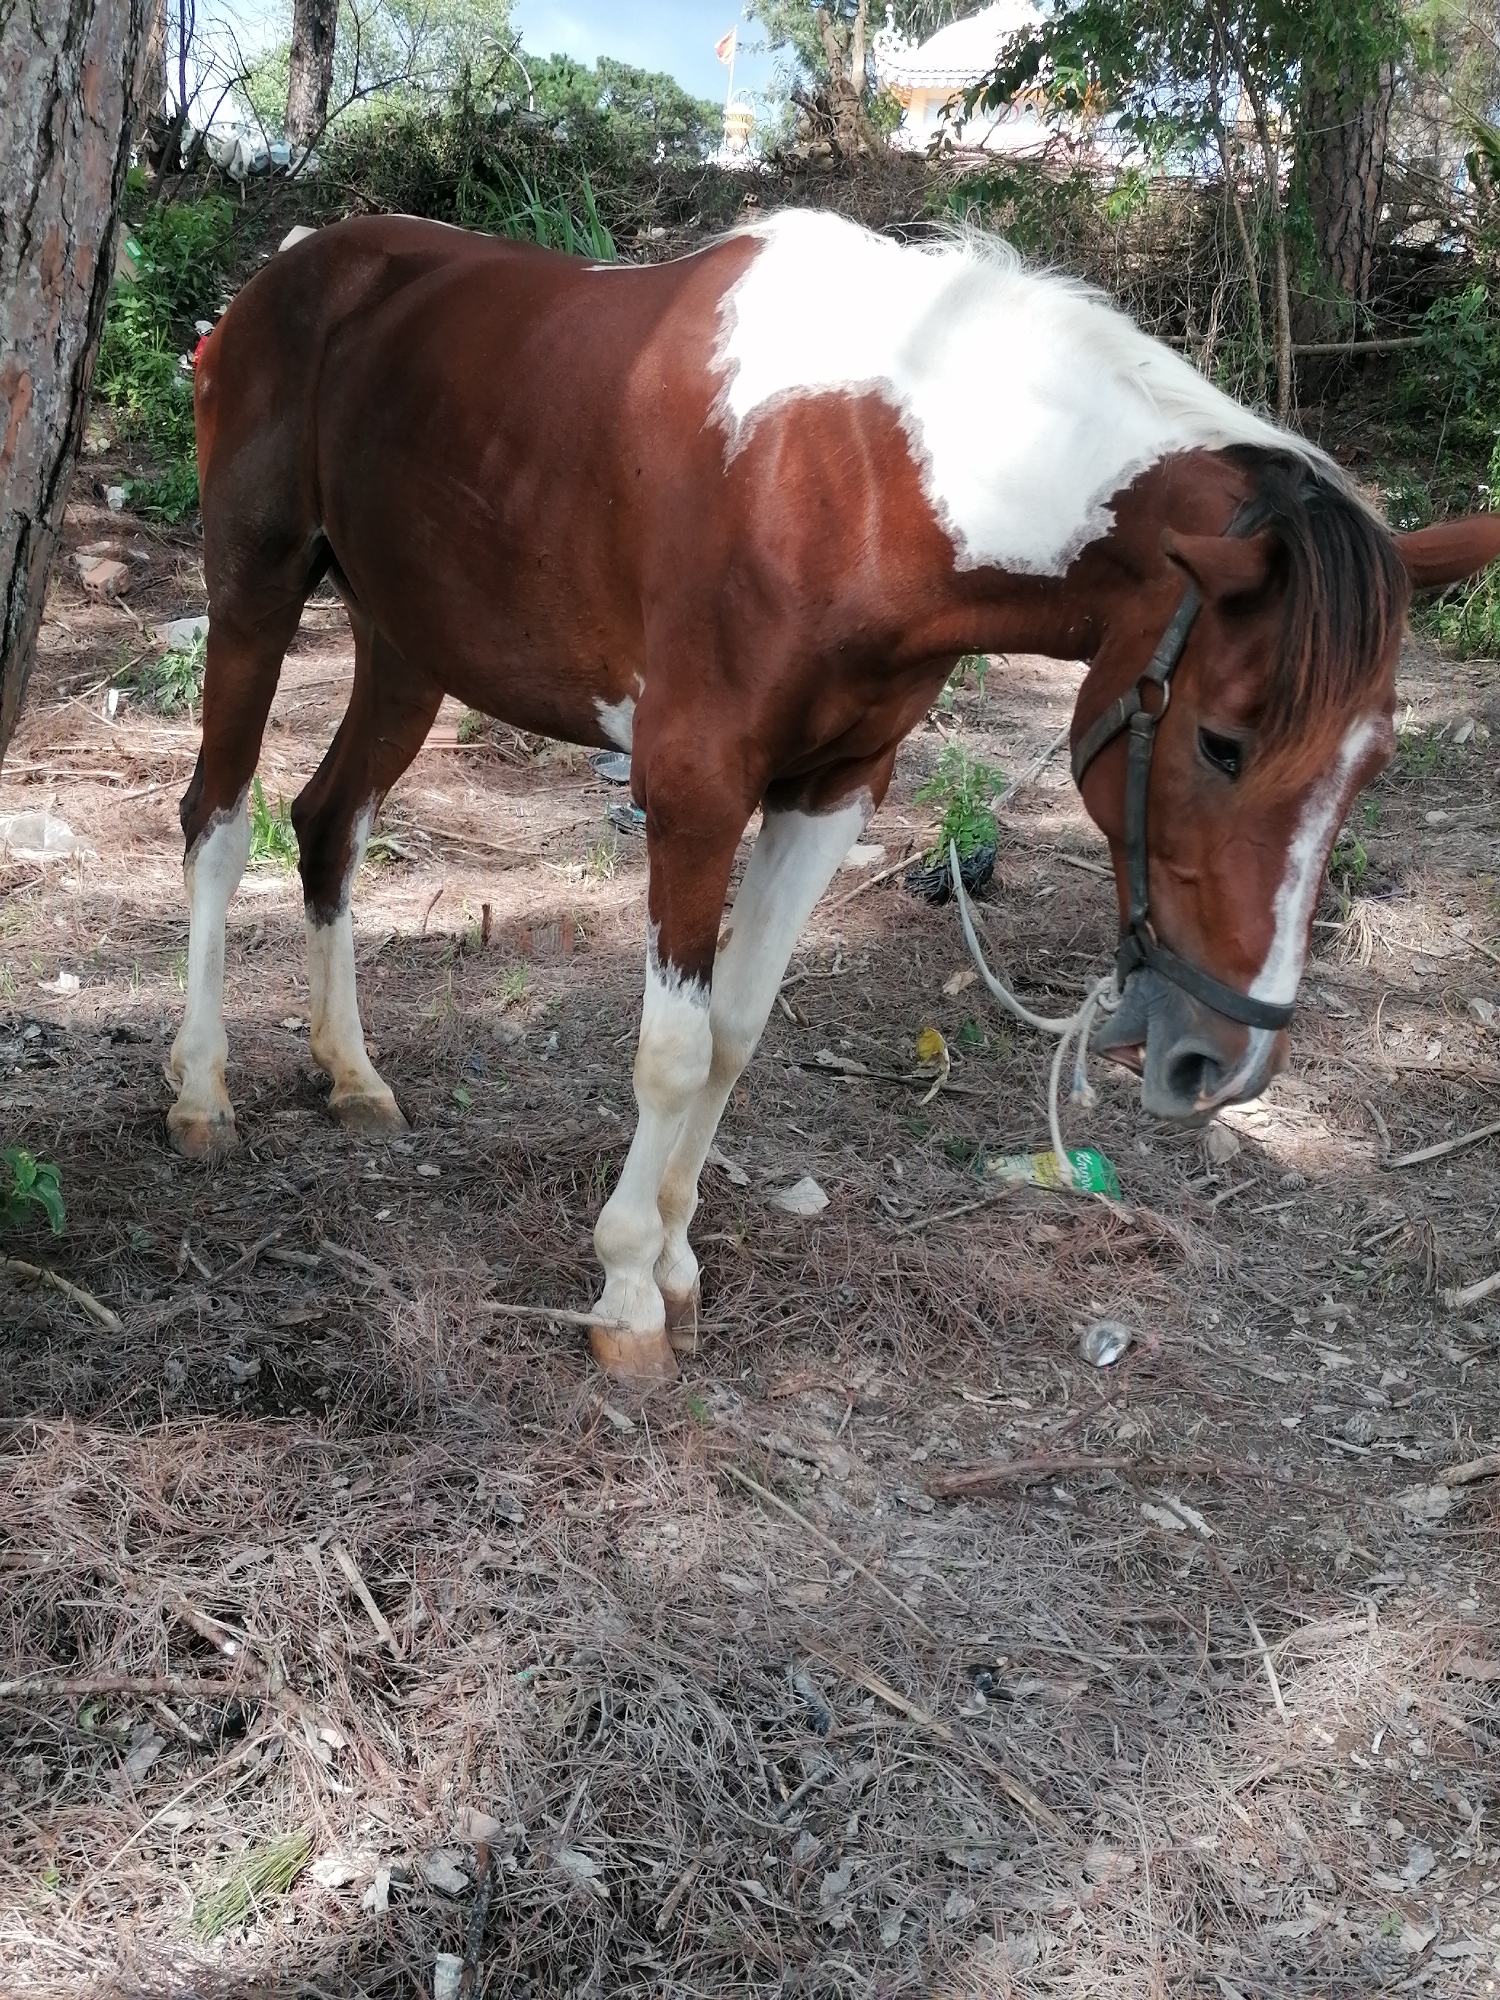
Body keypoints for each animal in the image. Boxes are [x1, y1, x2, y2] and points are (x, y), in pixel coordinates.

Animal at [171, 206, 1500, 1383]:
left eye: (1372, 765)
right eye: (1223, 744)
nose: (1224, 1062)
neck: (864, 474)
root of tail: (292, 267)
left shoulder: (828, 793)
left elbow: (735, 1032)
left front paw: (676, 1265)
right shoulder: (695, 790)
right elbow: (672, 1049)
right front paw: (624, 1294)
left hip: (408, 644)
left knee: (330, 826)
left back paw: (352, 1073)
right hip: (256, 592)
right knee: (218, 826)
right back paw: (199, 1088)